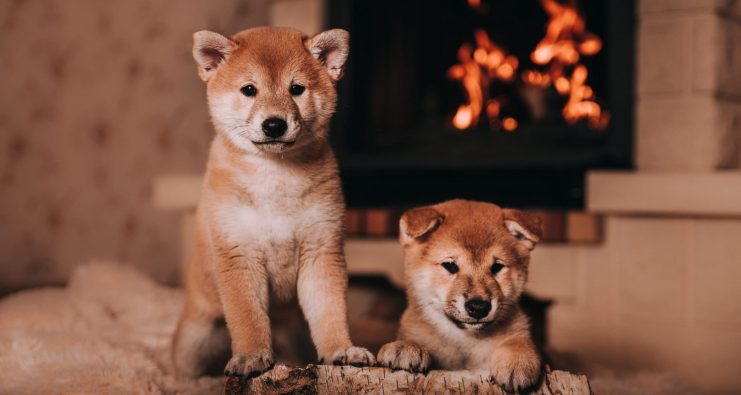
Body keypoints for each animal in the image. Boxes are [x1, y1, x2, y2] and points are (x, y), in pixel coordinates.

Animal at [171, 26, 372, 378]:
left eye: (297, 89)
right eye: (249, 90)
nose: (274, 124)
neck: (276, 177)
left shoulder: (322, 250)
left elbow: (330, 311)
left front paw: (341, 349)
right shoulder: (239, 253)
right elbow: (247, 316)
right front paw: (251, 356)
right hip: (193, 340)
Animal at [376, 201, 544, 392]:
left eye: (496, 267)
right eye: (450, 265)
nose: (479, 307)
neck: (464, 341)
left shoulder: (519, 331)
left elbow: (518, 342)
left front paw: (518, 360)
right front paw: (405, 347)